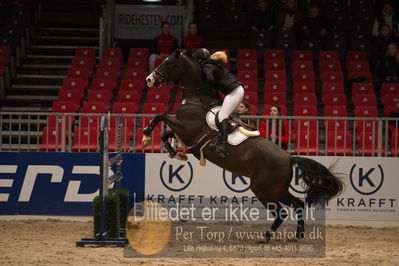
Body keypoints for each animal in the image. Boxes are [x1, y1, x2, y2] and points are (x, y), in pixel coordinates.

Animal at [142, 48, 342, 242]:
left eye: (168, 62)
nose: (149, 79)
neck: (196, 99)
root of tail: (289, 157)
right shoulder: (186, 135)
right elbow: (166, 133)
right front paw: (175, 153)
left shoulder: (185, 129)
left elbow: (160, 116)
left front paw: (146, 135)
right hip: (278, 189)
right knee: (298, 205)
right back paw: (298, 234)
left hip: (263, 189)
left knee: (281, 212)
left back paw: (266, 237)